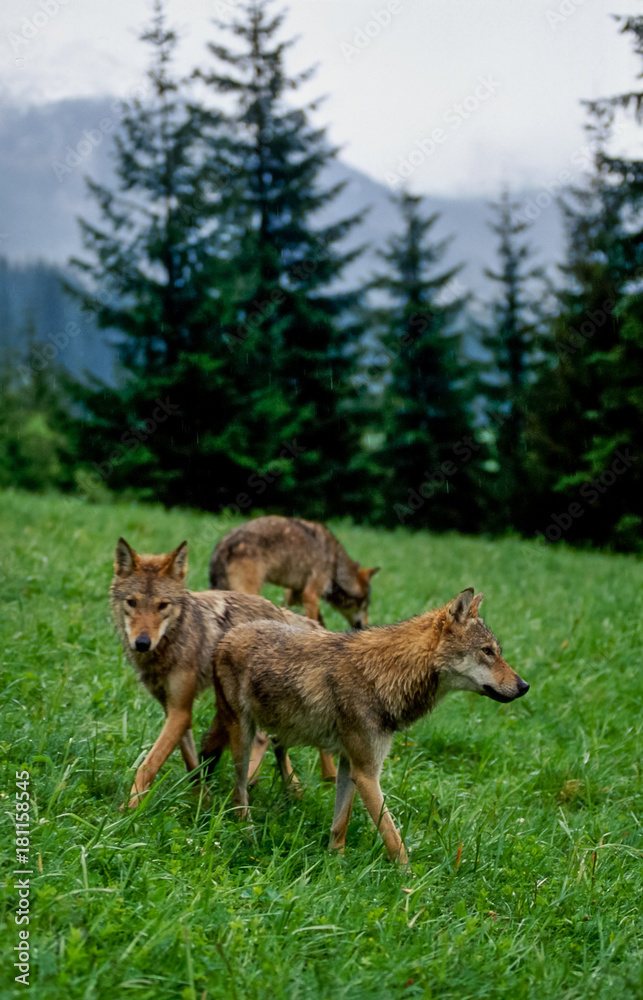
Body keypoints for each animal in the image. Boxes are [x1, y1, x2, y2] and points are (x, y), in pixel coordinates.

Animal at [110, 537, 324, 809]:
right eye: (132, 602)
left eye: (162, 605)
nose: (142, 643)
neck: (172, 640)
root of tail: (279, 610)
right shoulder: (174, 710)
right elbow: (191, 763)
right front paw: (203, 801)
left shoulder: (180, 711)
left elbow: (148, 765)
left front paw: (130, 809)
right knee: (274, 745)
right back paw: (291, 792)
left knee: (267, 740)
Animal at [205, 588, 529, 864]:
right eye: (487, 651)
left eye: (497, 651)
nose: (525, 686)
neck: (388, 674)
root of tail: (227, 636)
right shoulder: (368, 772)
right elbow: (393, 838)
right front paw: (411, 884)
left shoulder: (351, 765)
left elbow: (340, 824)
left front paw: (335, 863)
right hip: (243, 738)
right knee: (238, 791)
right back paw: (247, 835)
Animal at [208, 515, 379, 628]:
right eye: (366, 604)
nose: (366, 626)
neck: (336, 563)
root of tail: (223, 544)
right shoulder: (310, 594)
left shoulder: (295, 594)